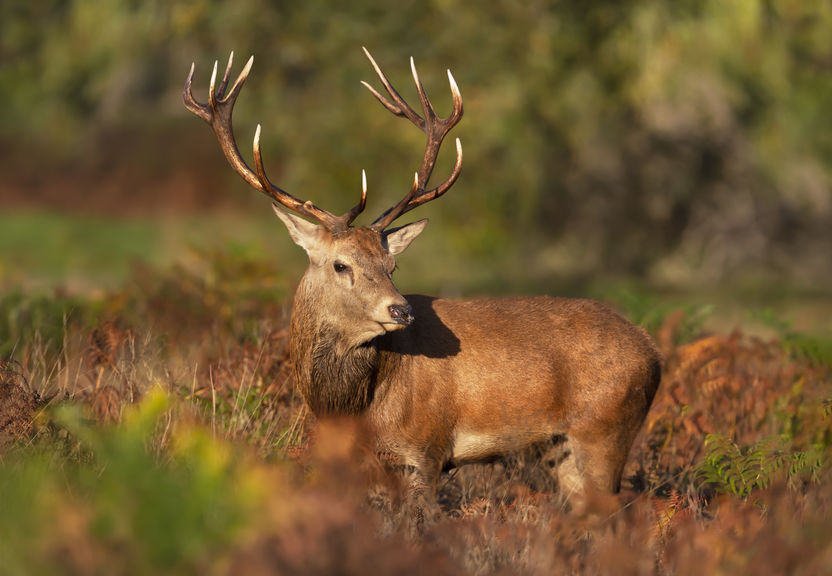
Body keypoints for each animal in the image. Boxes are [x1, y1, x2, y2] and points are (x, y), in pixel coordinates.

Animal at [184, 49, 664, 516]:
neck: (353, 407)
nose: (401, 309)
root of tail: (653, 351)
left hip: (604, 430)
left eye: (391, 265)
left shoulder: (426, 447)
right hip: (559, 447)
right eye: (341, 265)